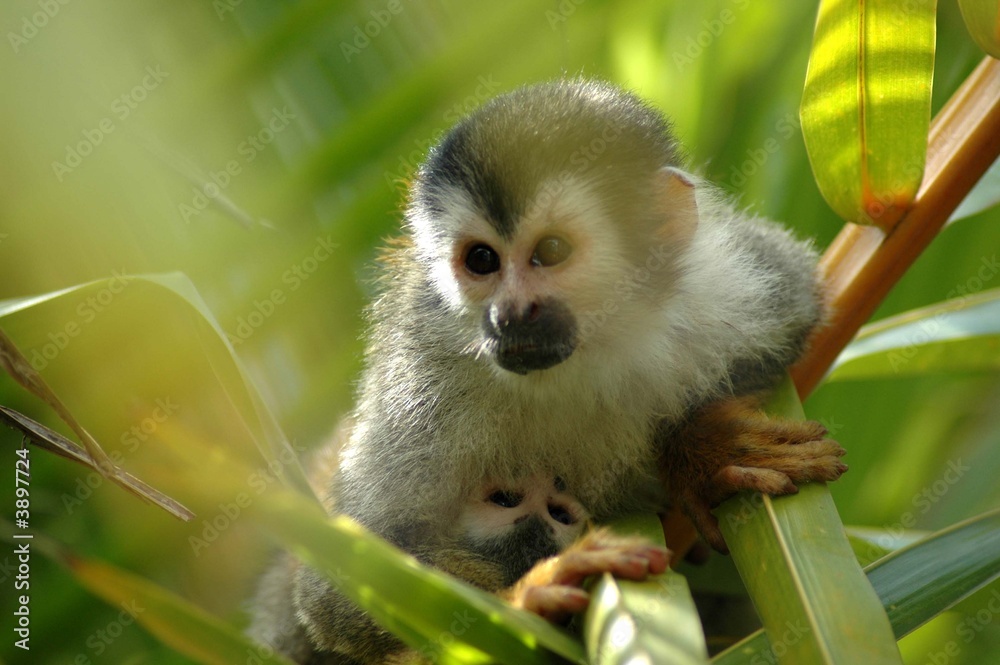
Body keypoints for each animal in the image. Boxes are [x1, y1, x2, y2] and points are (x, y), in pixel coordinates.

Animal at [249, 78, 847, 663]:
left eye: (551, 251)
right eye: (482, 260)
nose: (509, 314)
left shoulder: (726, 284)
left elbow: (805, 299)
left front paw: (701, 448)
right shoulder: (421, 378)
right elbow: (336, 592)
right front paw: (528, 600)